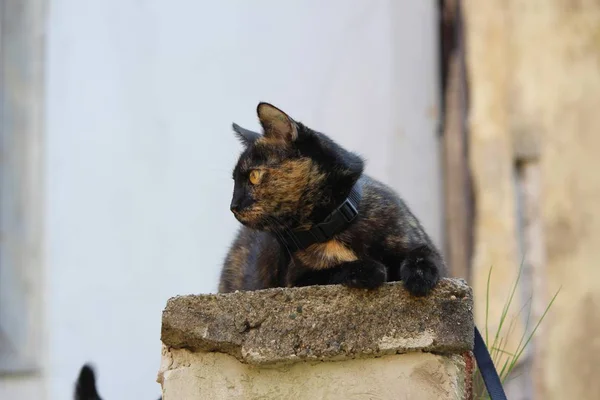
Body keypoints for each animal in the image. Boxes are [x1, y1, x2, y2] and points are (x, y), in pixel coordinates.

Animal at [219, 102, 446, 296]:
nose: (233, 206)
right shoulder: (296, 279)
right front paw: (368, 269)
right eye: (234, 180)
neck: (332, 226)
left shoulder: (418, 241)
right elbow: (331, 272)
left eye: (253, 176)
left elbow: (423, 254)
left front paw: (419, 277)